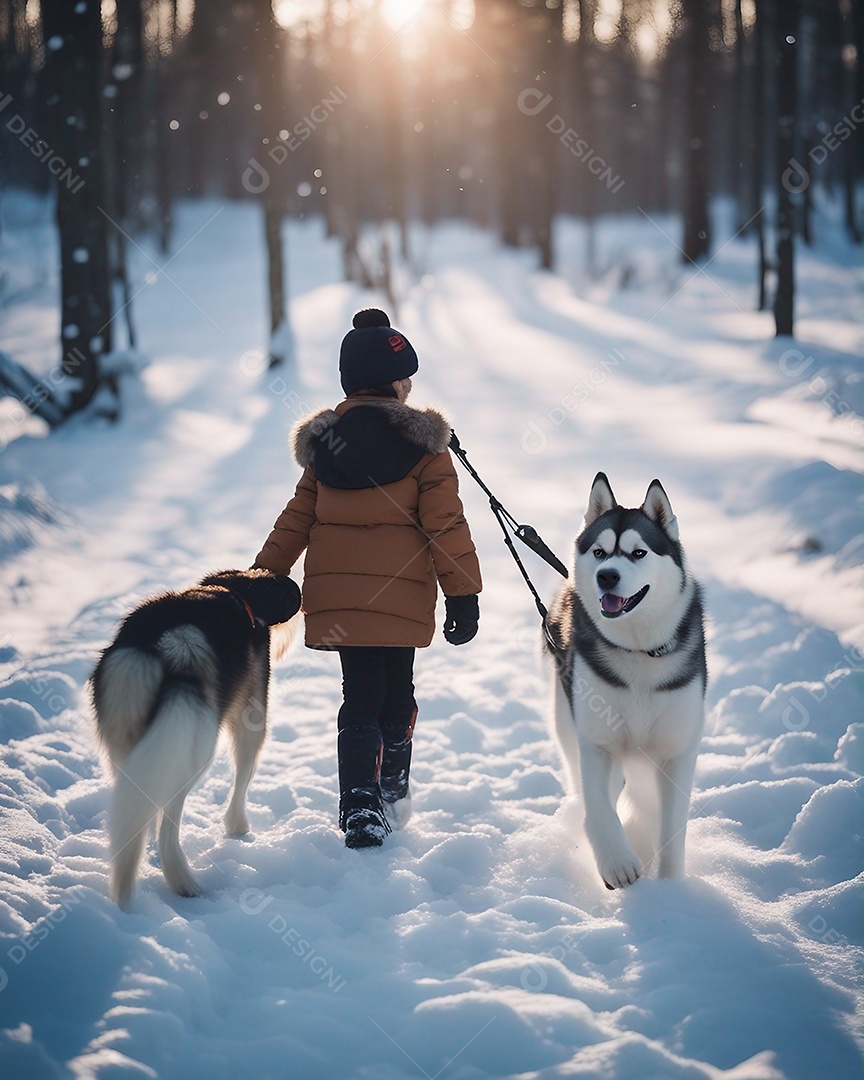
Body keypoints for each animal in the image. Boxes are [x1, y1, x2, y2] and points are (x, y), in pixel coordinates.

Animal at [91, 570, 300, 907]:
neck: (237, 591)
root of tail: (164, 642)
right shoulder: (253, 715)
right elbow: (244, 776)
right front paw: (238, 827)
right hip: (193, 753)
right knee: (168, 826)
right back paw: (184, 883)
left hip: (127, 738)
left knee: (141, 809)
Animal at [550, 473, 704, 885]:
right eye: (599, 553)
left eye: (638, 553)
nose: (607, 576)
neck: (637, 650)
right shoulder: (597, 741)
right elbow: (599, 807)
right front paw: (617, 862)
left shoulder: (676, 749)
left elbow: (670, 827)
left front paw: (670, 888)